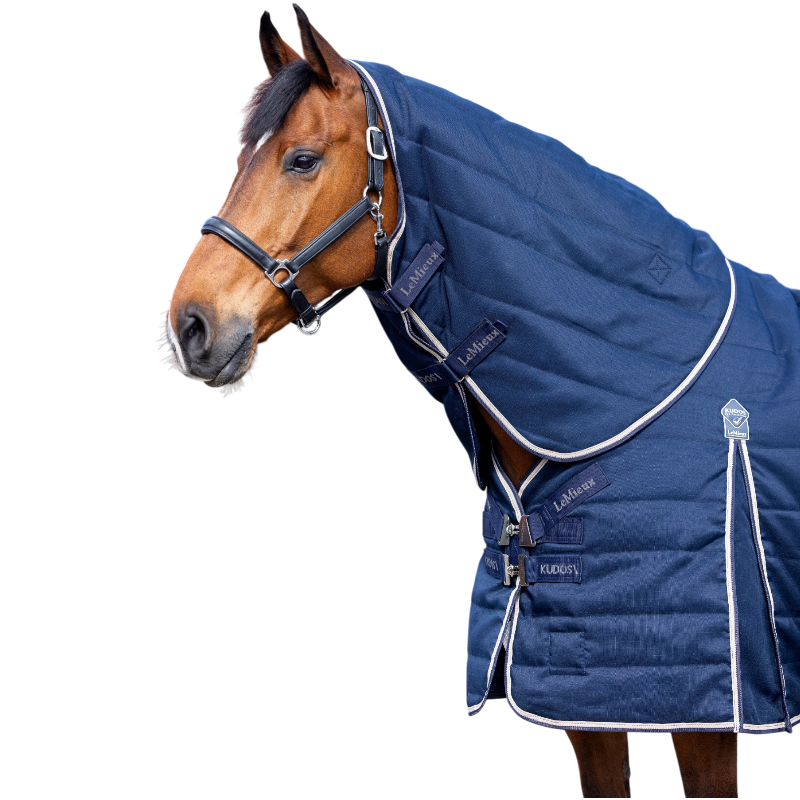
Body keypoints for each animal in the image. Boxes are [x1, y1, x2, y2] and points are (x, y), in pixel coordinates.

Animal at [161, 7, 798, 797]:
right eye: (241, 154)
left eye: (301, 160)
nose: (189, 325)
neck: (637, 390)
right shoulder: (580, 706)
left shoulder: (700, 718)